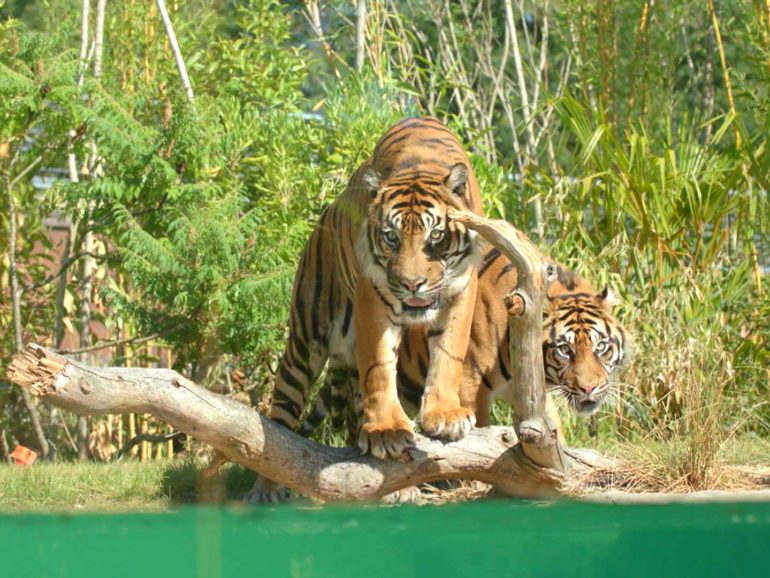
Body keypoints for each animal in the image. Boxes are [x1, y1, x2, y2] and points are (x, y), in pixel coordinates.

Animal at [249, 117, 484, 500]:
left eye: (435, 237)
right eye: (391, 237)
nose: (412, 284)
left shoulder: (462, 289)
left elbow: (448, 354)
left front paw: (445, 415)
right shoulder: (372, 294)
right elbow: (379, 365)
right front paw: (388, 430)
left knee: (353, 418)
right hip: (304, 342)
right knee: (281, 420)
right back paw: (266, 488)